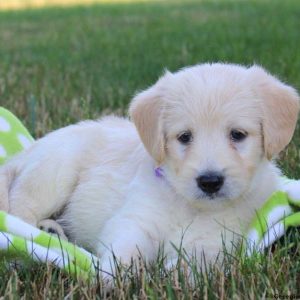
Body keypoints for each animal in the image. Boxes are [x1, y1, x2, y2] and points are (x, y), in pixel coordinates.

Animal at [0, 63, 300, 272]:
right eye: (184, 137)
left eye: (237, 135)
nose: (210, 181)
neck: (192, 207)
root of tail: (25, 153)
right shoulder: (135, 220)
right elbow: (125, 251)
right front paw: (114, 278)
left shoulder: (220, 241)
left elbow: (195, 263)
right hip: (55, 172)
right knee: (20, 208)